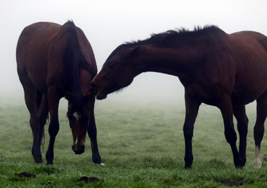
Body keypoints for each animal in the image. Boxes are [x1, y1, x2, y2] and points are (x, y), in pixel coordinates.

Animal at [16, 20, 103, 164]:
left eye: (86, 116)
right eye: (69, 117)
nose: (78, 148)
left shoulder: (90, 96)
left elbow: (92, 127)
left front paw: (97, 158)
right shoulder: (54, 92)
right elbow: (54, 127)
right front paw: (49, 158)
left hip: (45, 93)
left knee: (40, 118)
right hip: (29, 86)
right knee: (34, 120)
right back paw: (38, 156)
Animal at [91, 25, 267, 168]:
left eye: (111, 65)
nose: (93, 85)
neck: (201, 57)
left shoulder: (224, 100)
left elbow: (230, 133)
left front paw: (236, 162)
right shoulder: (191, 98)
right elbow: (188, 129)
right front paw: (188, 162)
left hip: (260, 96)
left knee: (257, 128)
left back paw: (255, 162)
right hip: (238, 100)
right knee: (243, 125)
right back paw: (244, 160)